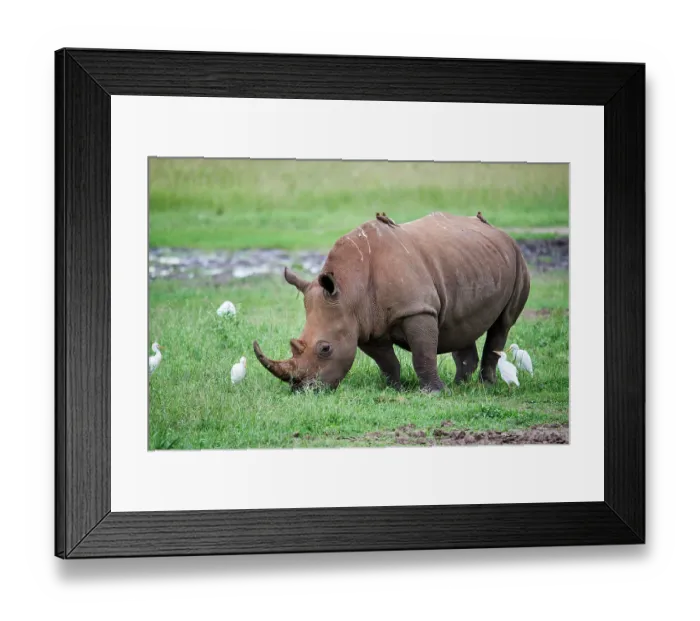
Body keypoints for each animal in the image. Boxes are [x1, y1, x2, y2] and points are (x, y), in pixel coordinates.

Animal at [253, 211, 530, 393]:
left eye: (325, 349)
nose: (302, 390)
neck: (349, 288)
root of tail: (501, 232)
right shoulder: (363, 323)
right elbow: (386, 361)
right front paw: (395, 388)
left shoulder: (417, 310)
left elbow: (422, 354)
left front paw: (434, 393)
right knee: (461, 325)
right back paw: (460, 385)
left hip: (517, 258)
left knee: (502, 324)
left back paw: (486, 386)